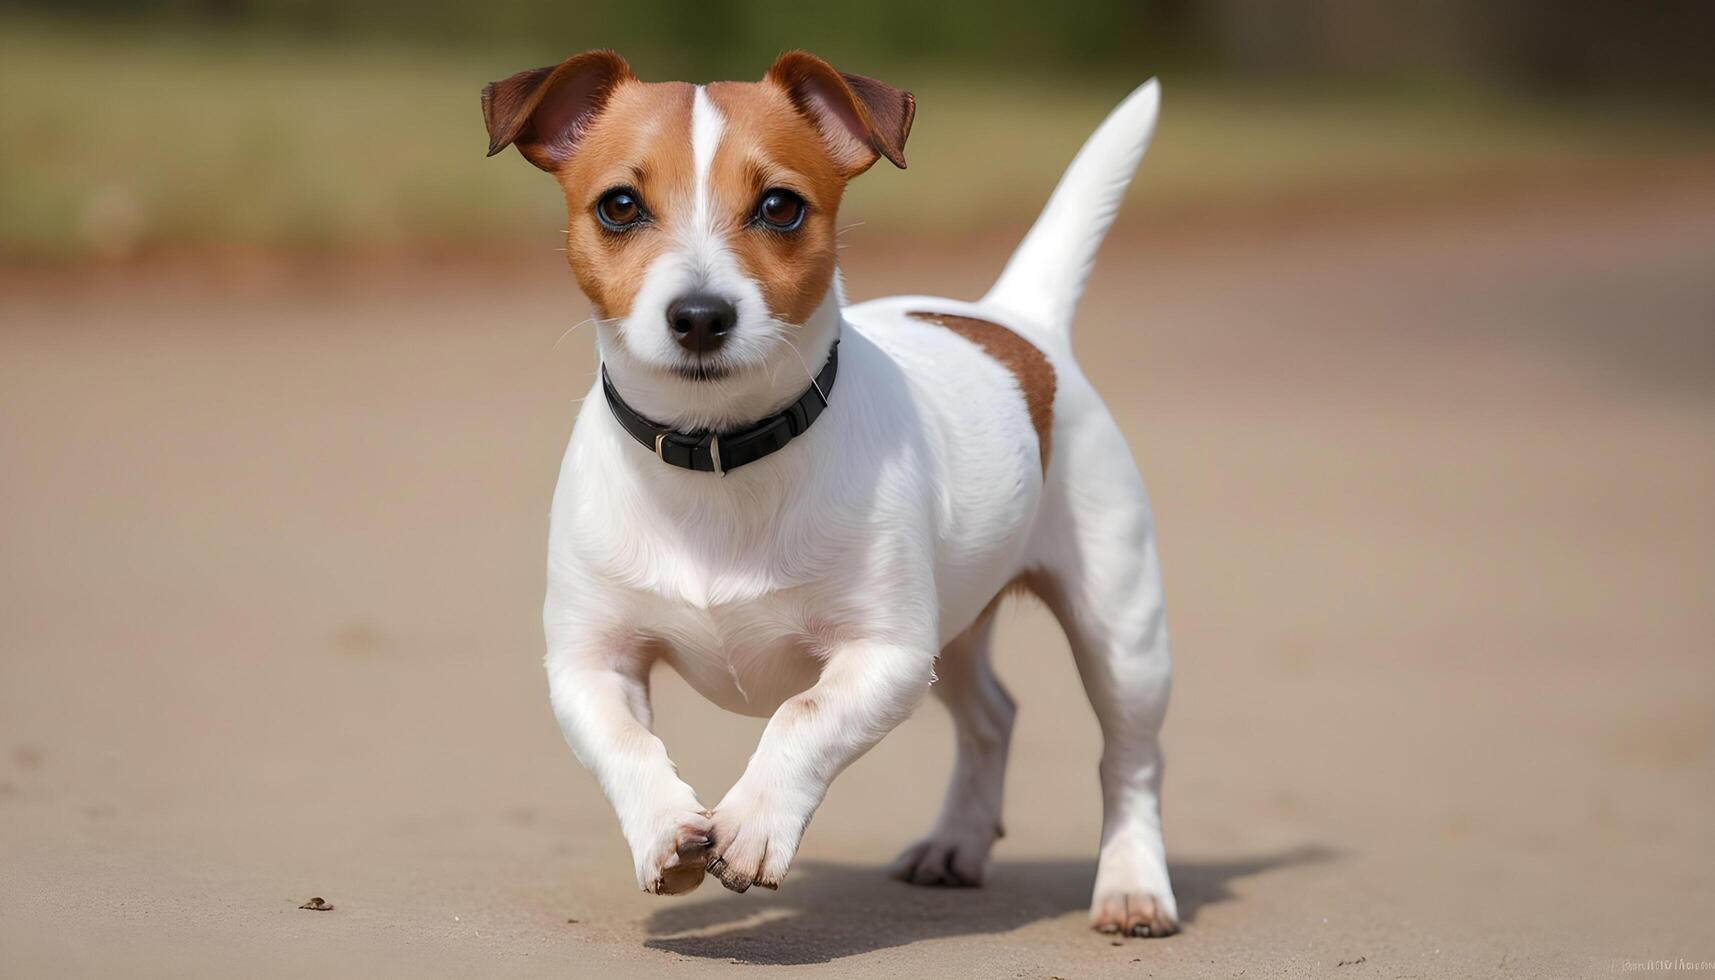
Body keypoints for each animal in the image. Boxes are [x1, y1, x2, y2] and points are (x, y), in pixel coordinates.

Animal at [483, 49, 1179, 940]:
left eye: (780, 207)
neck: (720, 457)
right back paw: (956, 844)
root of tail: (1017, 321)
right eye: (619, 205)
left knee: (1130, 758)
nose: (700, 315)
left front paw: (753, 823)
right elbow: (624, 743)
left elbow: (802, 717)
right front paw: (663, 829)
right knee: (992, 718)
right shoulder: (588, 663)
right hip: (954, 629)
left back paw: (1132, 884)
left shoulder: (885, 656)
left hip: (1118, 633)